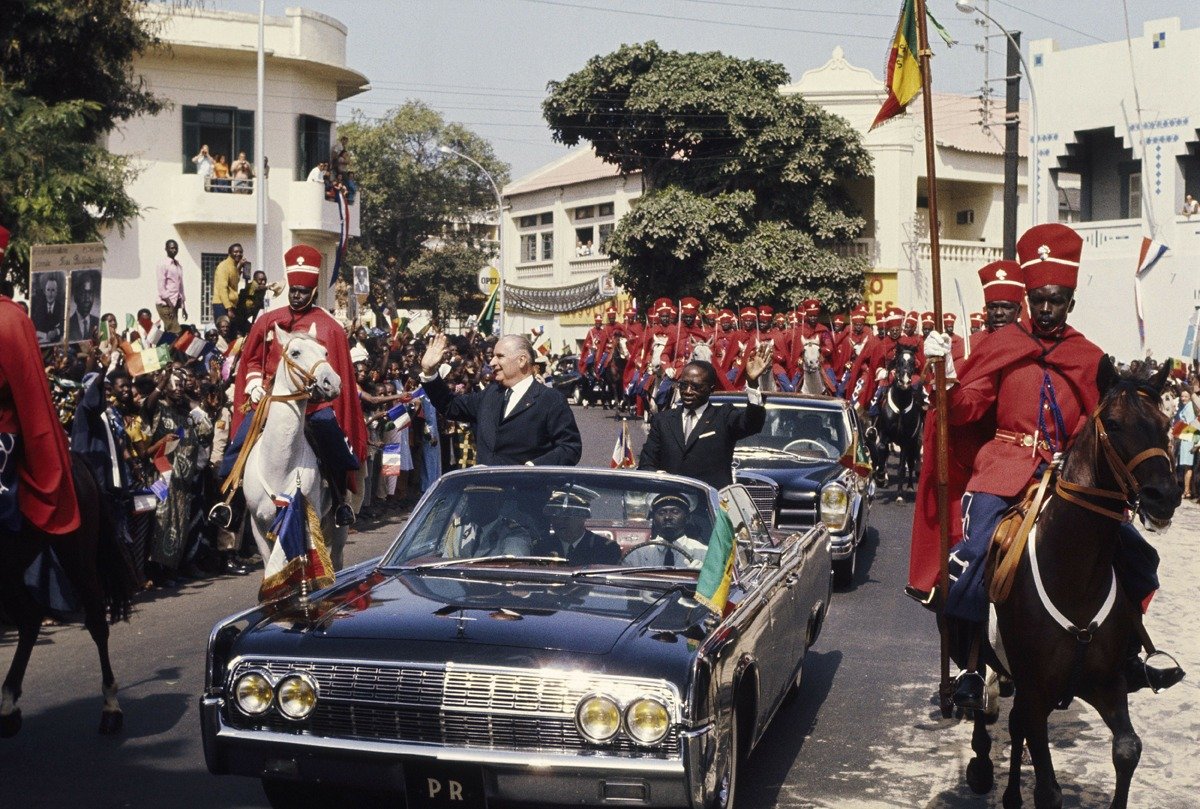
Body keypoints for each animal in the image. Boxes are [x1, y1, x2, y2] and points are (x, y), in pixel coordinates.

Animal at [0, 451, 137, 734]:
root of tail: (75, 458)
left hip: (77, 555)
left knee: (96, 623)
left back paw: (111, 708)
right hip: (11, 568)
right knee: (30, 619)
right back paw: (8, 707)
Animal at [964, 360, 1180, 806]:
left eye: (1166, 423)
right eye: (1113, 423)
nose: (1162, 497)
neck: (1074, 574)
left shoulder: (1105, 682)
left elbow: (1128, 750)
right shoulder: (1037, 690)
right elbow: (1049, 789)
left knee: (1014, 722)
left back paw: (1012, 794)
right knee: (985, 702)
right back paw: (980, 763)